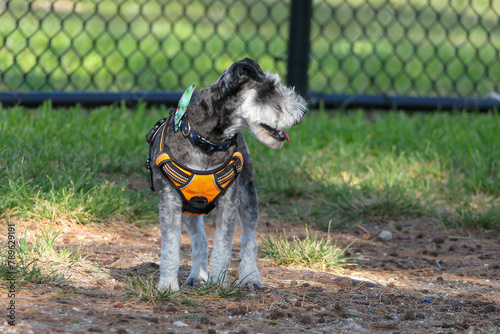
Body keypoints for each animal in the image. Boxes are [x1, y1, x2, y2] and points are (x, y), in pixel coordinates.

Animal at [146, 56, 306, 290]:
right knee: (200, 240)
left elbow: (223, 246)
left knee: (249, 239)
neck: (206, 143)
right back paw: (198, 275)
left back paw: (250, 277)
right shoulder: (170, 202)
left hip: (248, 196)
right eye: (269, 89)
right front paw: (167, 286)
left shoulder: (229, 202)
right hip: (189, 211)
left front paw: (218, 282)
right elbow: (169, 248)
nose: (302, 112)